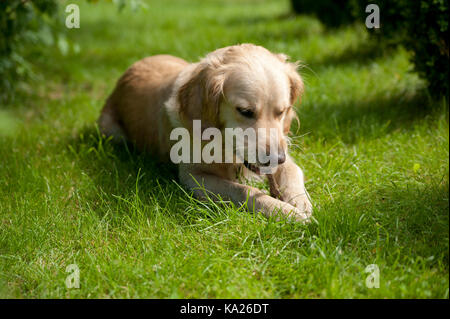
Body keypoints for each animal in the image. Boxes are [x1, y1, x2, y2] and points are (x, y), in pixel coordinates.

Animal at [100, 43, 312, 222]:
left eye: (281, 111)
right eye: (245, 111)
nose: (277, 158)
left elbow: (293, 170)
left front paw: (299, 201)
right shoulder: (193, 177)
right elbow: (245, 190)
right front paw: (284, 211)